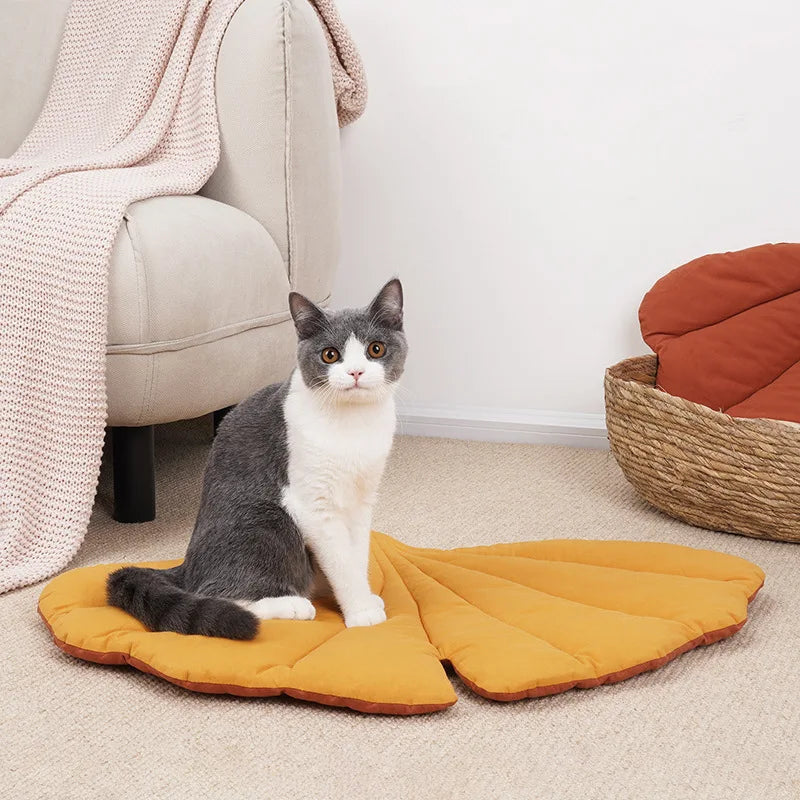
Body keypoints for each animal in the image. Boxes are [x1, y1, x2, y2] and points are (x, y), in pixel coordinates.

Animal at [106, 278, 406, 640]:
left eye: (375, 349)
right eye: (330, 355)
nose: (356, 372)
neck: (354, 426)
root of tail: (185, 568)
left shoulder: (362, 499)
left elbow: (356, 555)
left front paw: (362, 598)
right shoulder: (312, 503)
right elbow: (341, 560)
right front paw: (361, 613)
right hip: (267, 519)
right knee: (217, 593)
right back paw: (293, 605)